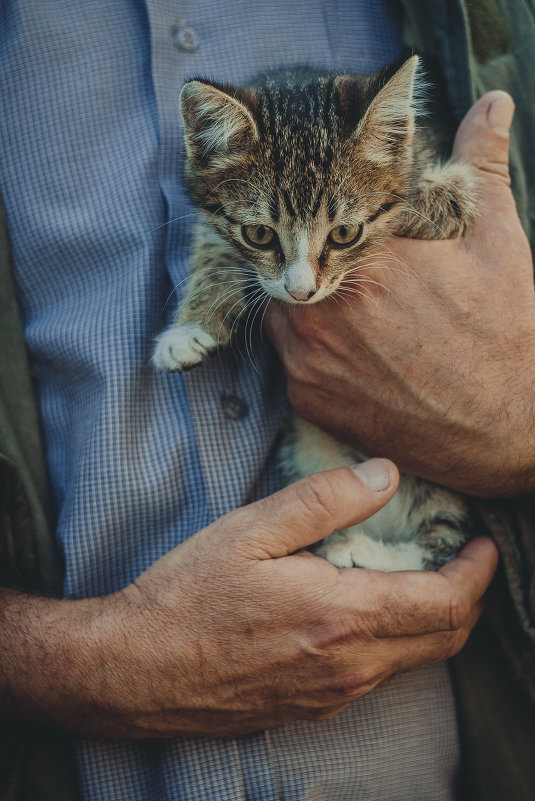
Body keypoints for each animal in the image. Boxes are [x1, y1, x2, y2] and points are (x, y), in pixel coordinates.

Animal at [153, 54, 480, 568]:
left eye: (344, 232)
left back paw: (364, 553)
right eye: (259, 235)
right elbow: (215, 245)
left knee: (441, 545)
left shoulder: (449, 196)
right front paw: (188, 329)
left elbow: (429, 204)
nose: (301, 291)